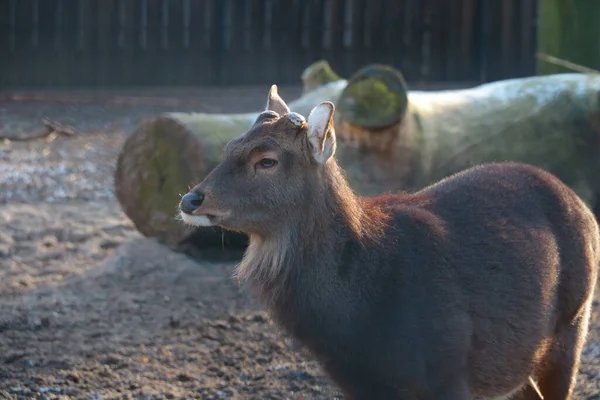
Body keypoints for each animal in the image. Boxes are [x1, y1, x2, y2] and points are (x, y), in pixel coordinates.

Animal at [178, 86, 600, 398]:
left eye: (267, 160)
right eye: (229, 147)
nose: (190, 199)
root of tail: (582, 204)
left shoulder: (449, 370)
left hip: (572, 324)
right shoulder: (360, 383)